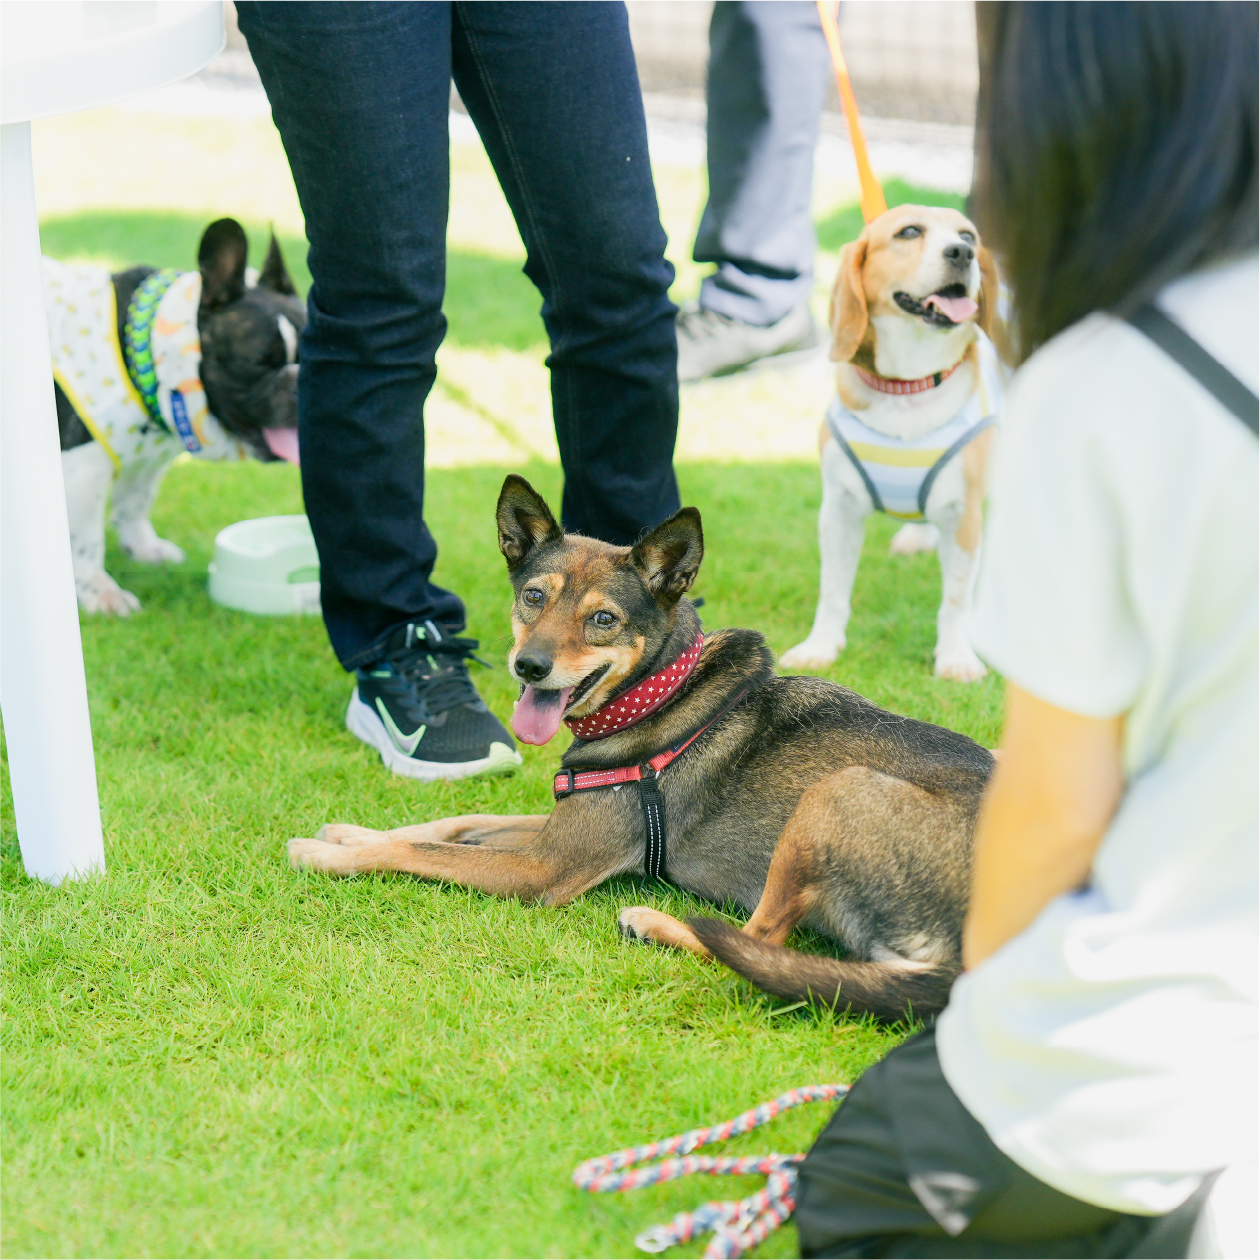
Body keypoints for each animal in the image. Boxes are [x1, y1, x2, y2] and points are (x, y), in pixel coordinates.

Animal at [289, 476, 987, 1018]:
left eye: (604, 620)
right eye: (533, 597)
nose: (528, 666)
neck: (658, 697)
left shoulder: (544, 869)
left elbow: (423, 851)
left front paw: (325, 855)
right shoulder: (559, 830)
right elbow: (455, 822)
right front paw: (349, 833)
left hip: (837, 791)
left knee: (760, 939)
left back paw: (654, 923)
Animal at [786, 205, 1002, 680]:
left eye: (969, 236)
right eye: (909, 232)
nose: (962, 253)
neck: (909, 388)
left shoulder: (964, 515)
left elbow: (956, 600)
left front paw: (956, 658)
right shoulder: (839, 510)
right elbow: (833, 591)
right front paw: (821, 647)